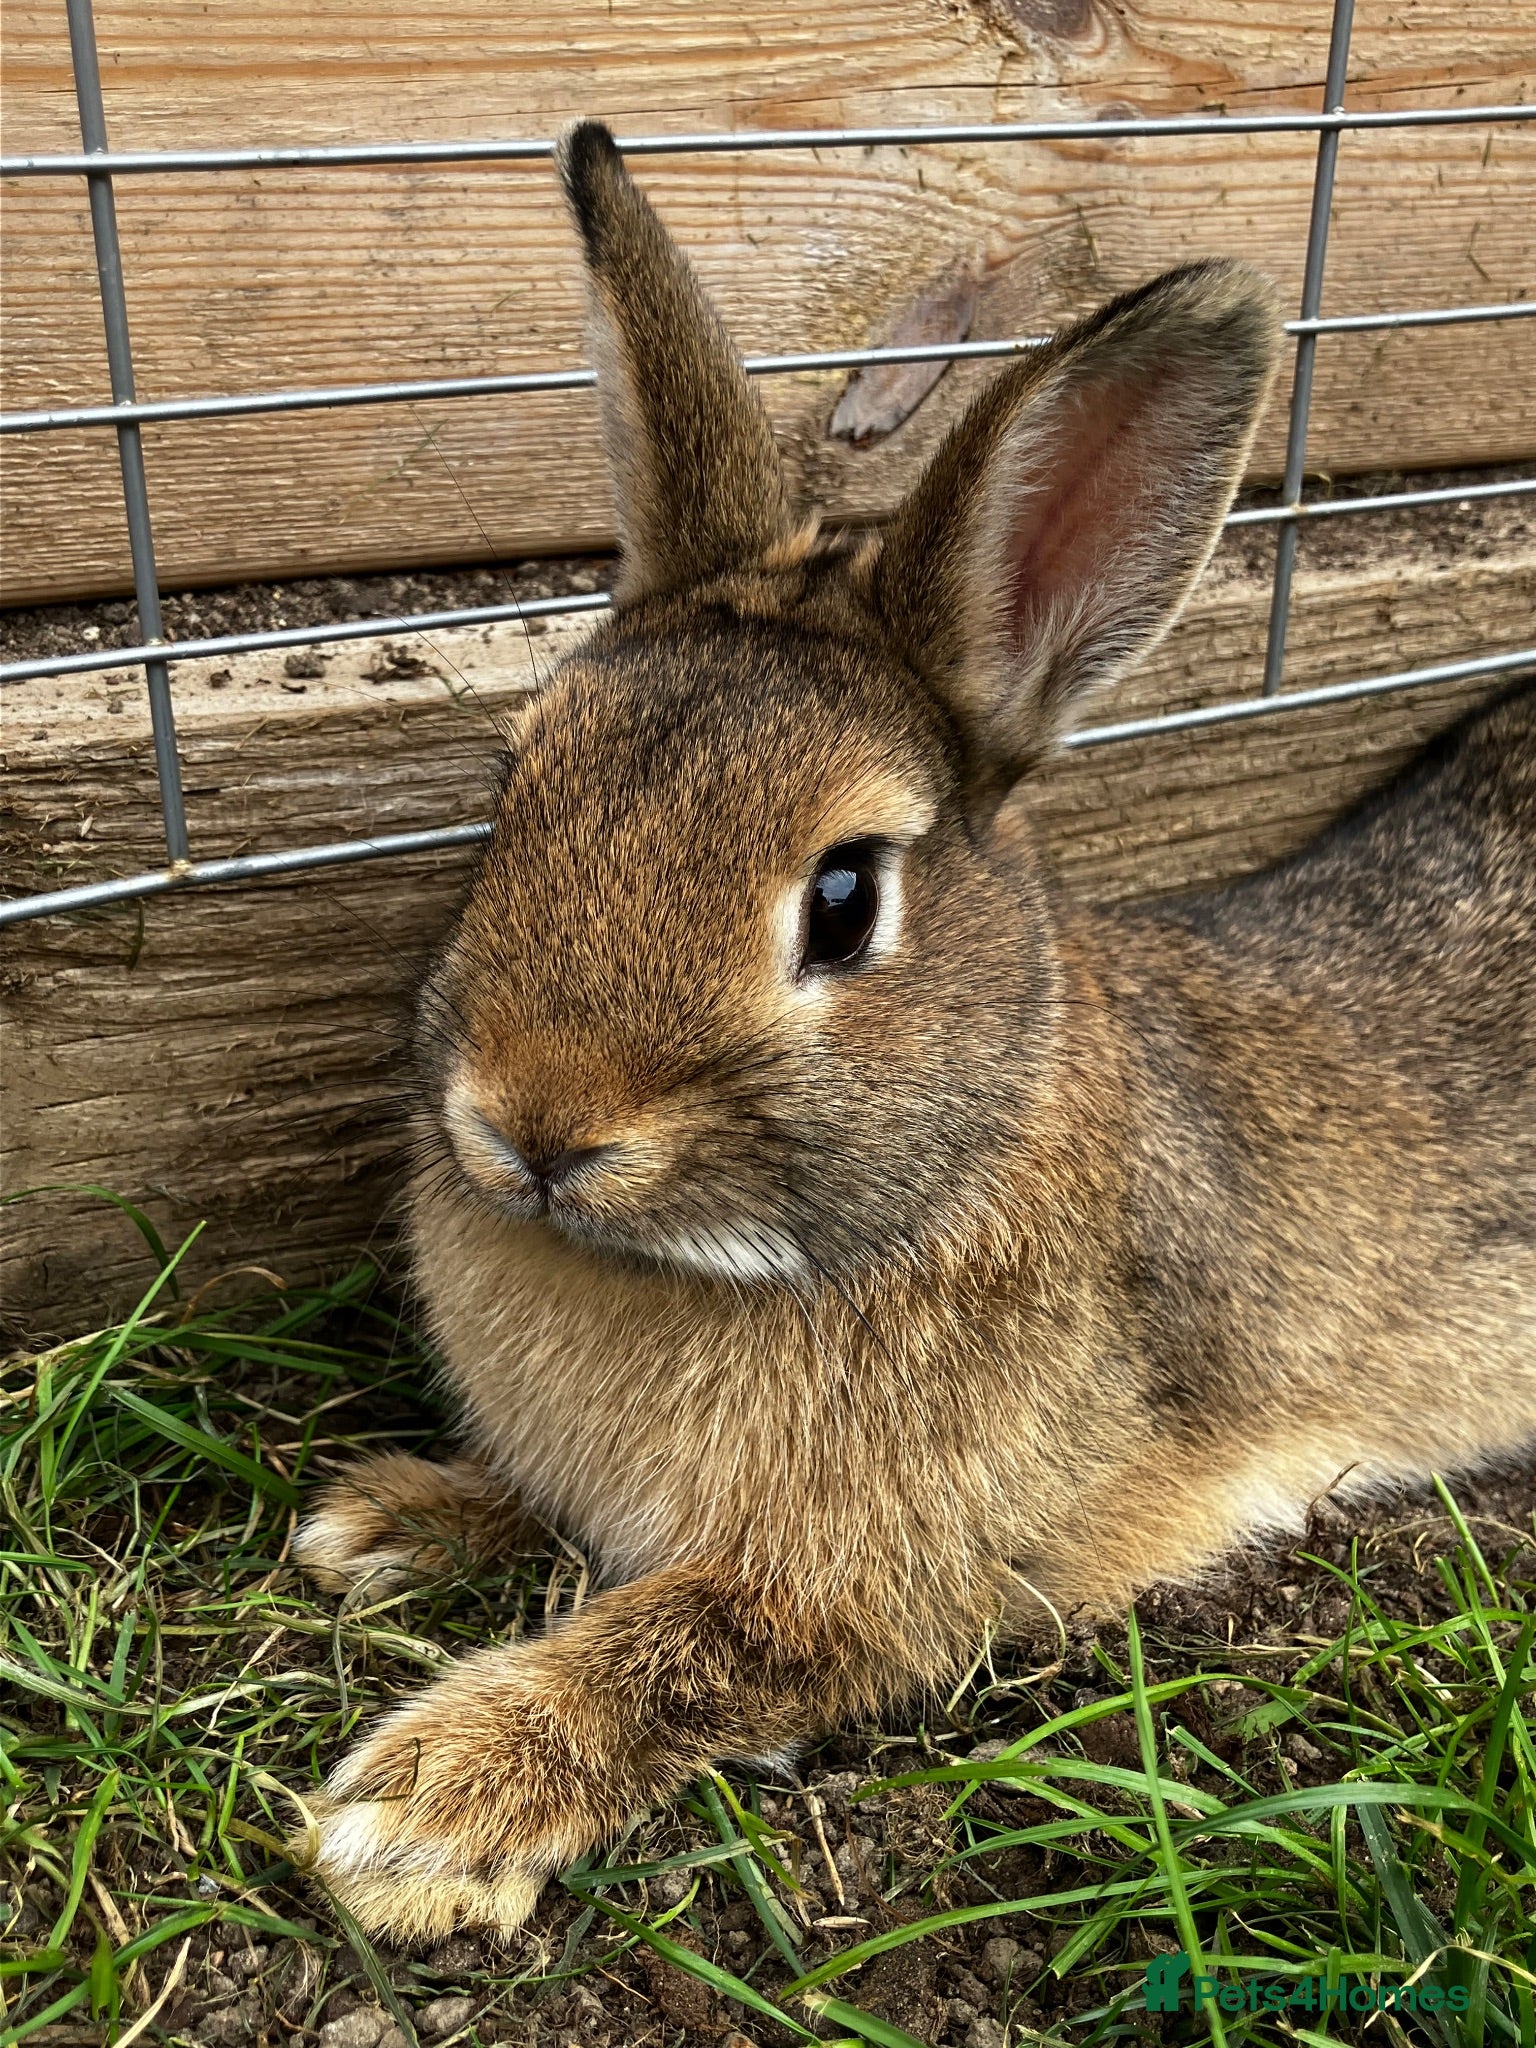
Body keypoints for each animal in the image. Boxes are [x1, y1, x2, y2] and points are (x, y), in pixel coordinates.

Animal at [292, 119, 1536, 1944]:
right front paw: (380, 1522)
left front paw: (425, 1809)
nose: (534, 1126)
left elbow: (679, 1648)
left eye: (843, 899)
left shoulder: (886, 1579)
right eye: (520, 787)